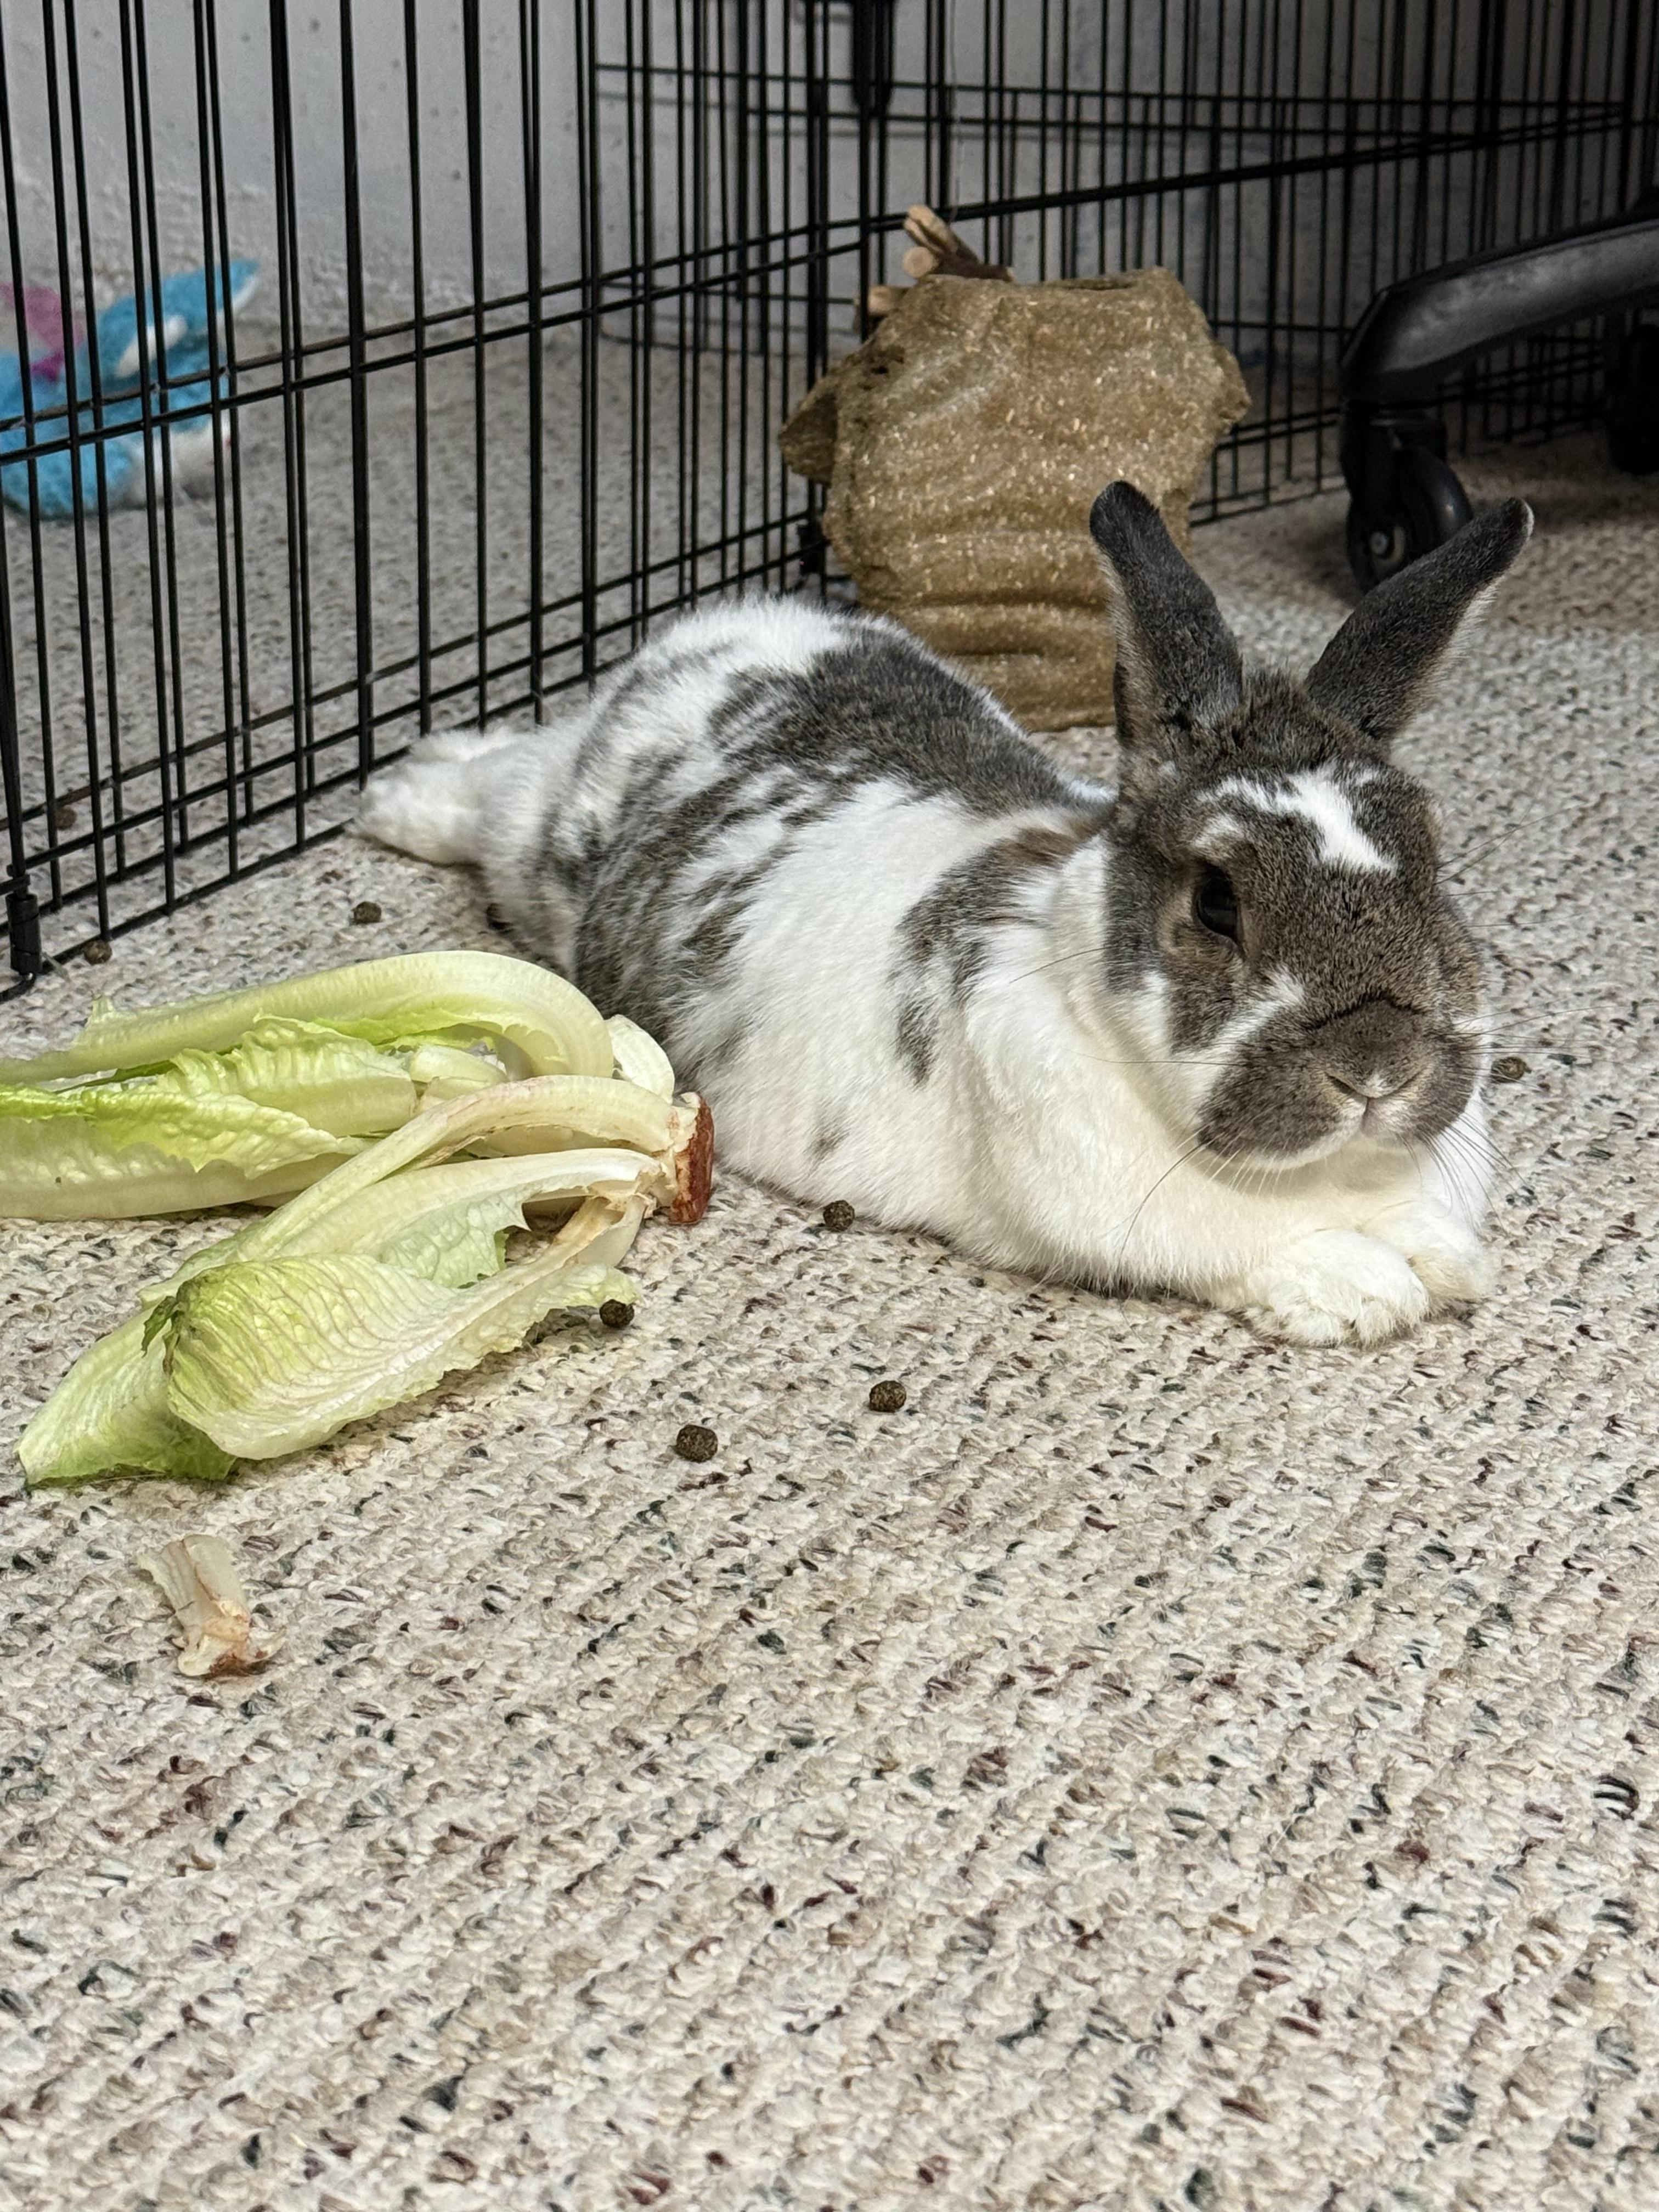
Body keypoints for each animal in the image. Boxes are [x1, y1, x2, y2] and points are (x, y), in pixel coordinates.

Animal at [358, 482, 1532, 1345]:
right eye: (1212, 900)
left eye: (1432, 852)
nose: (1377, 1067)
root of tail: (720, 624)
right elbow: (1252, 1248)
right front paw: (1362, 1291)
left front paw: (1440, 1266)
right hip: (534, 838)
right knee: (492, 782)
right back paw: (394, 790)